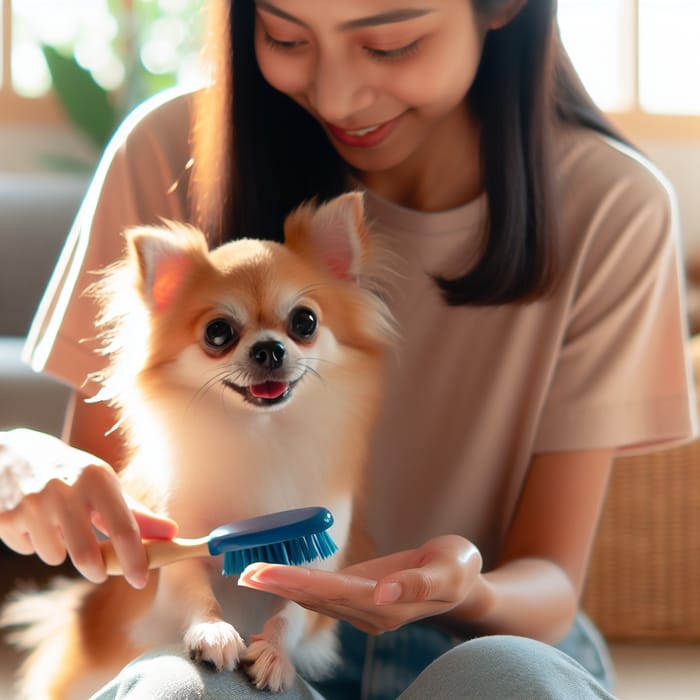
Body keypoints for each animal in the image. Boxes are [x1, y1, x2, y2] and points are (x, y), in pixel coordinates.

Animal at [1, 189, 394, 696]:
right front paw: (213, 632)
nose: (269, 348)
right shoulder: (182, 548)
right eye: (218, 332)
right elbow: (194, 590)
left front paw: (274, 653)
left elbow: (293, 612)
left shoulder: (317, 558)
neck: (257, 433)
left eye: (305, 322)